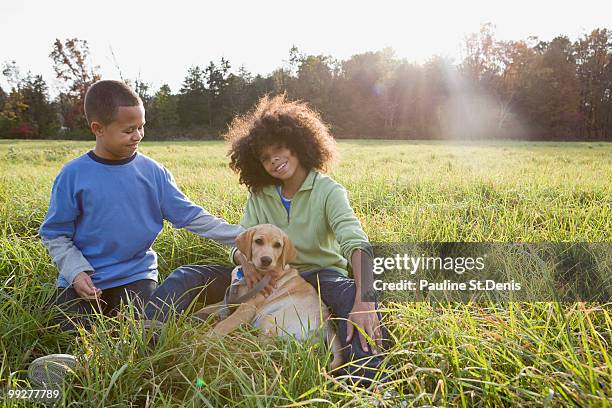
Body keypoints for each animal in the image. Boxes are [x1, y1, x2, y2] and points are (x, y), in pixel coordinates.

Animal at [213, 223, 342, 370]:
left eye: (277, 245)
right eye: (258, 241)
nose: (266, 260)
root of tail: (327, 322)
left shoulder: (246, 309)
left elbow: (224, 325)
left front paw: (206, 339)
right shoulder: (229, 301)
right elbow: (208, 308)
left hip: (269, 320)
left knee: (265, 347)